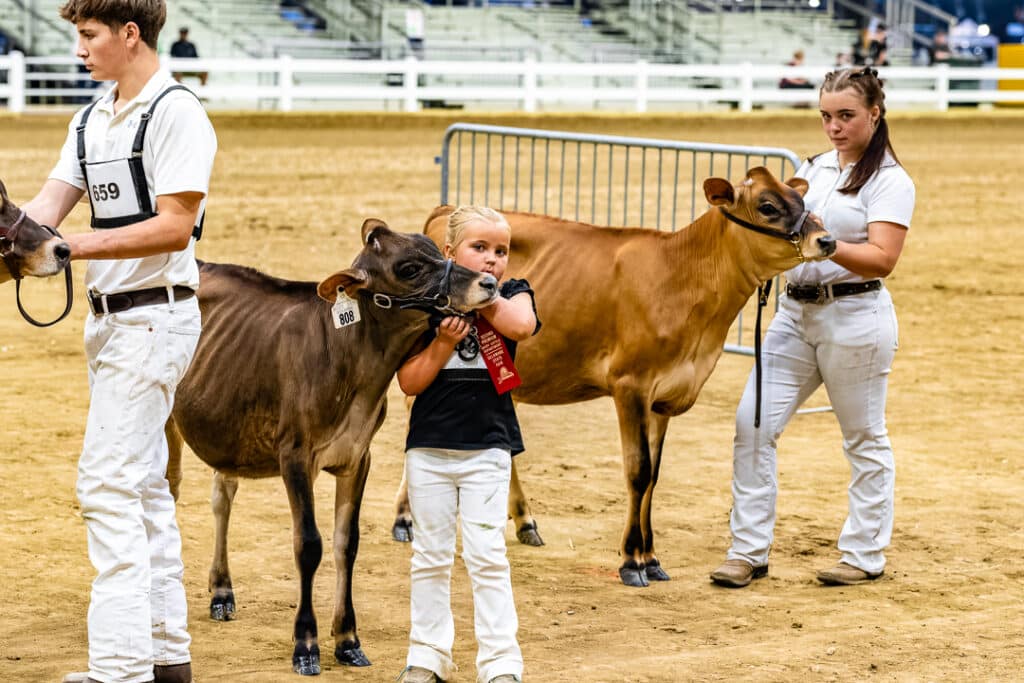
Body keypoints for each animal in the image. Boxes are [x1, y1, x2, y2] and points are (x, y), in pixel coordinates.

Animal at [164, 219, 500, 675]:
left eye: (435, 249)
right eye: (409, 268)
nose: (489, 282)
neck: (354, 363)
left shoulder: (359, 457)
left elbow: (346, 543)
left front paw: (347, 639)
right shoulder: (294, 455)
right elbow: (309, 544)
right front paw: (305, 644)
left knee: (222, 496)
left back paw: (222, 592)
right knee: (168, 491)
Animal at [392, 166, 837, 587]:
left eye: (800, 198)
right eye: (767, 206)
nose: (827, 240)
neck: (684, 276)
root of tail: (446, 210)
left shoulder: (665, 397)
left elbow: (654, 476)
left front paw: (652, 558)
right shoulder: (630, 385)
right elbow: (637, 472)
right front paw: (631, 561)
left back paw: (525, 521)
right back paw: (405, 519)